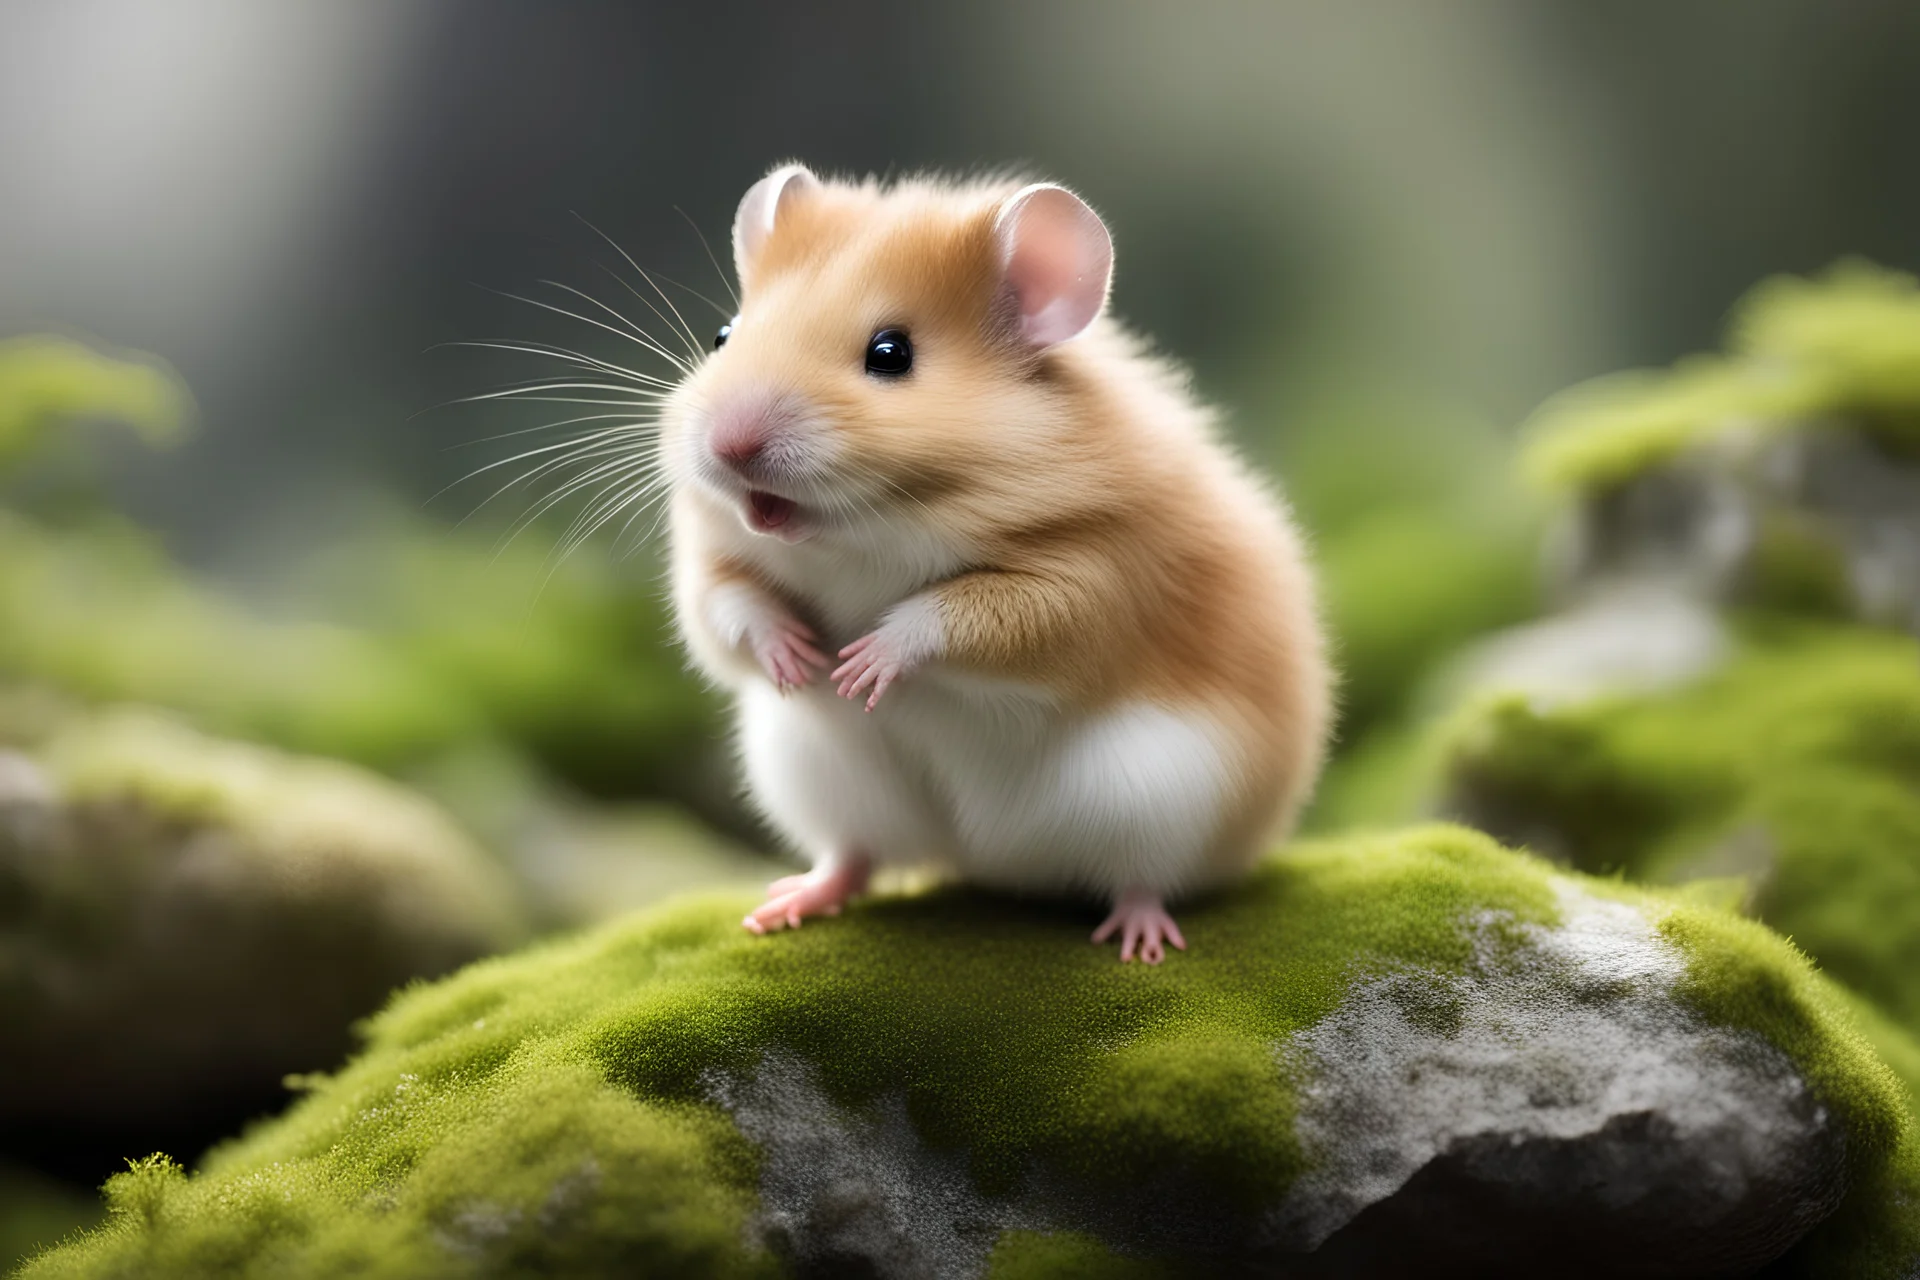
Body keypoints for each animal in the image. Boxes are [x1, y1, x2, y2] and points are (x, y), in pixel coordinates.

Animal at [660, 163, 1336, 959]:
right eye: (722, 336)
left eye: (890, 354)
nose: (731, 445)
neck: (863, 532)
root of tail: (990, 864)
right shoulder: (709, 562)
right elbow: (728, 609)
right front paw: (800, 662)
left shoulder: (1089, 583)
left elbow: (962, 614)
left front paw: (861, 667)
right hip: (819, 778)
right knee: (855, 856)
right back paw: (783, 907)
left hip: (1163, 802)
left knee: (1142, 878)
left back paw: (1140, 942)